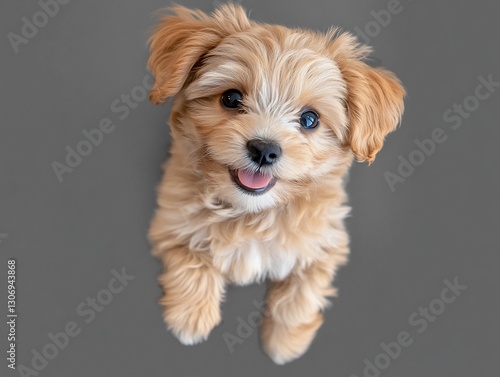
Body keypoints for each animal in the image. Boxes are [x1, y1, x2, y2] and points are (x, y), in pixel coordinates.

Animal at [146, 3, 404, 364]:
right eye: (231, 98)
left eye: (310, 119)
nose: (264, 150)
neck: (251, 213)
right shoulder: (171, 219)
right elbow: (191, 259)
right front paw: (190, 320)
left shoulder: (326, 244)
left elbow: (300, 296)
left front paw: (283, 344)